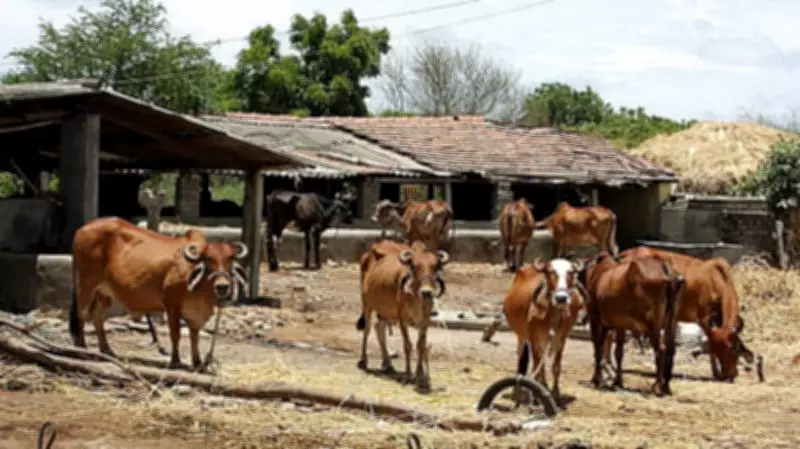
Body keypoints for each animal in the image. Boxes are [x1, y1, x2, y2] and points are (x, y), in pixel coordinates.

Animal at [69, 217, 248, 372]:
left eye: (230, 258)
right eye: (208, 259)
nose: (222, 286)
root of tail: (82, 228)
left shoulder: (195, 312)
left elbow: (194, 336)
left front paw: (198, 363)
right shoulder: (172, 304)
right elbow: (175, 334)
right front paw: (175, 361)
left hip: (105, 292)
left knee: (97, 316)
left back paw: (106, 350)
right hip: (86, 283)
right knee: (81, 313)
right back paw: (81, 348)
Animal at [356, 240, 449, 392]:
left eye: (435, 267)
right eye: (414, 266)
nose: (427, 292)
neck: (416, 298)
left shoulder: (425, 320)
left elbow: (421, 346)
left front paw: (420, 376)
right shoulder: (402, 319)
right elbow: (408, 345)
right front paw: (407, 374)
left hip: (384, 311)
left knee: (379, 328)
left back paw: (387, 363)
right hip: (367, 303)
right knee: (368, 328)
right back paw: (363, 360)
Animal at [503, 258, 586, 402]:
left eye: (570, 272)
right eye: (550, 272)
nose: (561, 298)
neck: (553, 314)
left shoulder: (561, 338)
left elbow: (556, 366)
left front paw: (556, 393)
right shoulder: (534, 338)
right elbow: (538, 366)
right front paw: (537, 395)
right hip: (521, 335)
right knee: (521, 357)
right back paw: (518, 390)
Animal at [581, 252, 685, 396]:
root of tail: (666, 270)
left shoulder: (595, 319)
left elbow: (598, 349)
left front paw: (596, 380)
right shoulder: (620, 325)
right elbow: (618, 352)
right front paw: (617, 382)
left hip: (652, 323)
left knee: (661, 349)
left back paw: (657, 386)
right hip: (671, 321)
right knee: (671, 350)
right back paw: (666, 387)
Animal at [617, 246, 757, 381]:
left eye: (733, 348)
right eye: (720, 351)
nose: (729, 374)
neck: (717, 281)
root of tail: (626, 254)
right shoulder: (704, 317)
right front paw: (716, 373)